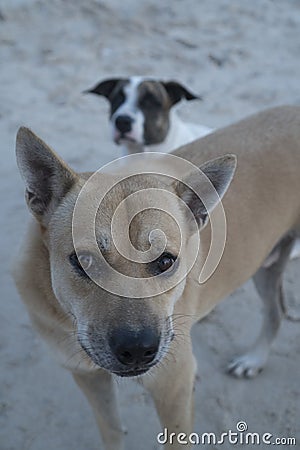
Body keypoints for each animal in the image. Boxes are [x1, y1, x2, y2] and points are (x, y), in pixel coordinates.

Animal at [12, 106, 300, 450]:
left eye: (165, 261)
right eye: (83, 261)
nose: (137, 350)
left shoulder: (173, 388)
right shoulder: (88, 377)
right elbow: (111, 430)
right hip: (265, 267)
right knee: (276, 311)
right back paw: (255, 360)